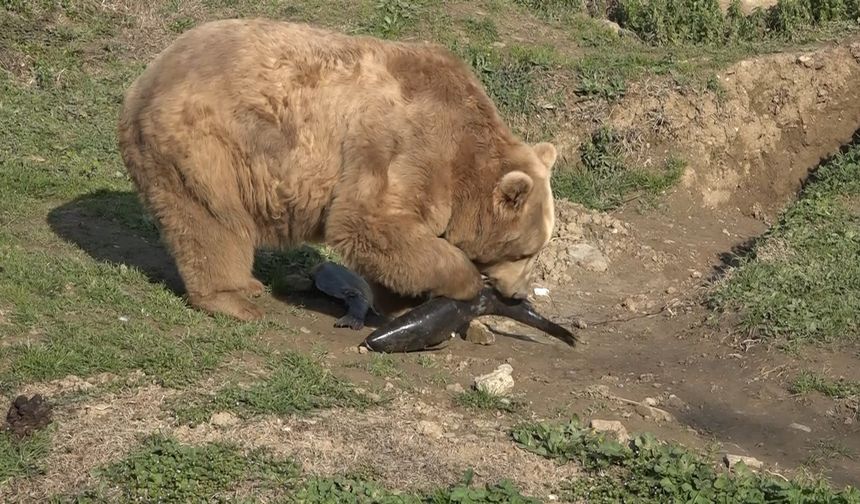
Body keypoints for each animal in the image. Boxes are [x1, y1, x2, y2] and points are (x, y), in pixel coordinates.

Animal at [117, 18, 560, 322]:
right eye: (525, 251)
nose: (519, 294)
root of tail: (146, 77)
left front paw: (402, 303)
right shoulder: (407, 147)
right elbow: (369, 223)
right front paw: (464, 281)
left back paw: (250, 286)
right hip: (205, 143)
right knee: (210, 219)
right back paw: (234, 299)